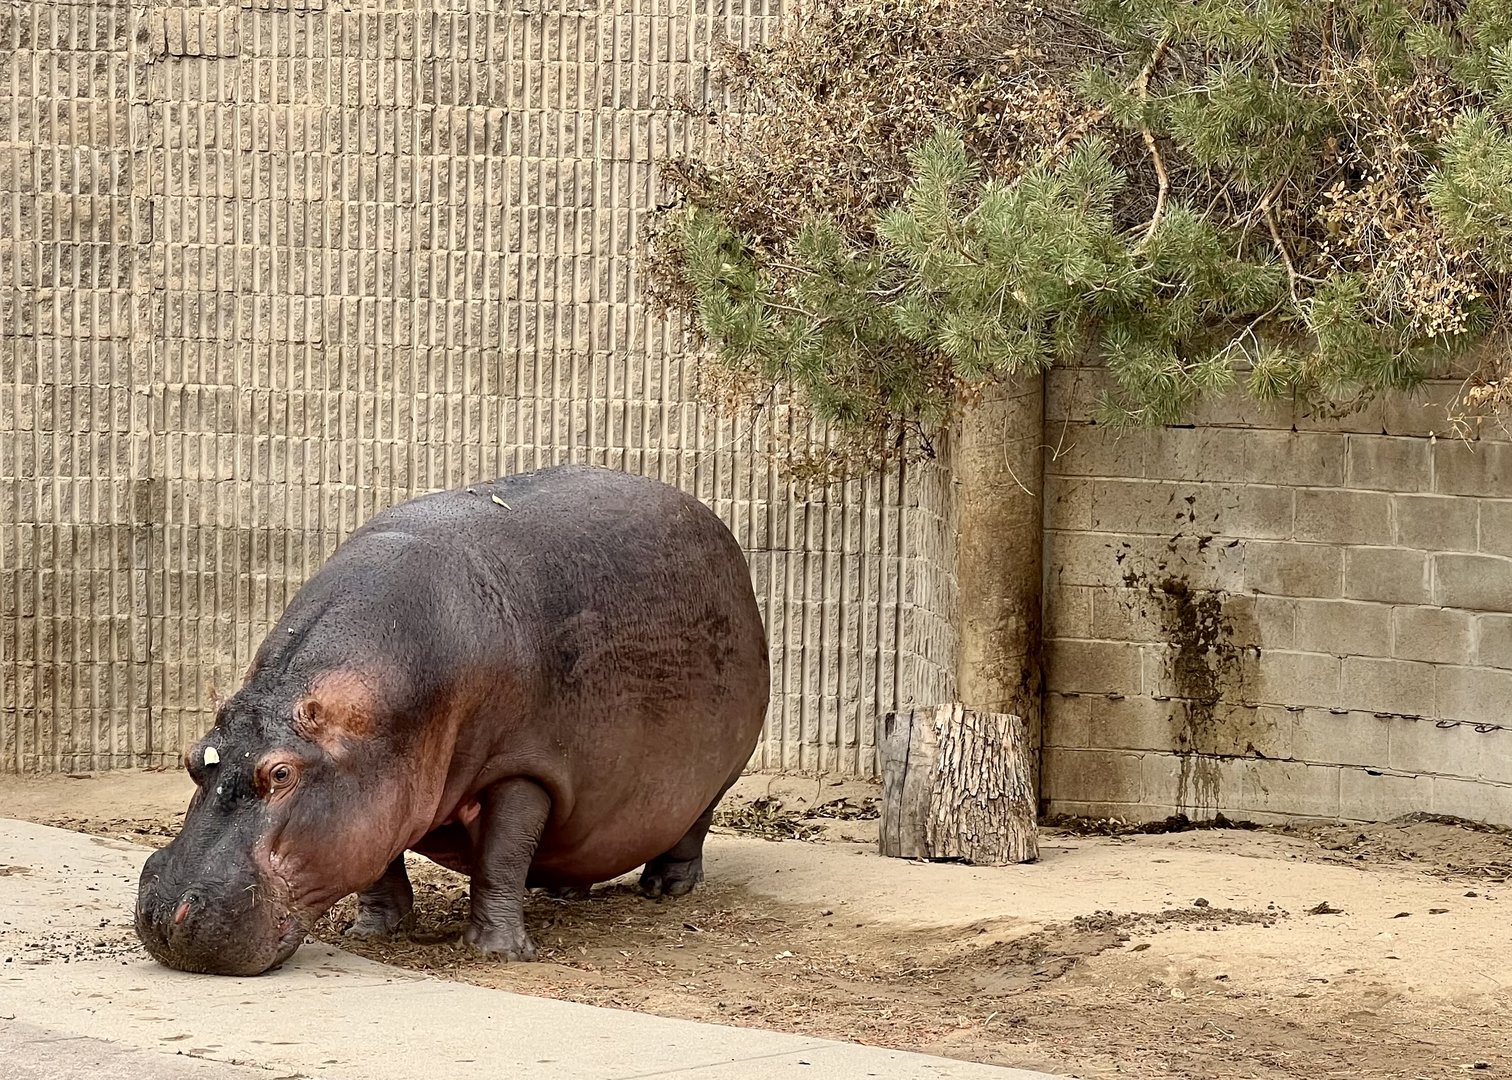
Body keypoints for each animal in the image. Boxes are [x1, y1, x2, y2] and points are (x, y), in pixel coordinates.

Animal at [134, 464, 770, 975]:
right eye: (192, 758)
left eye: (282, 774)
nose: (165, 913)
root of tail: (721, 531)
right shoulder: (382, 791)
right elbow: (379, 863)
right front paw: (374, 931)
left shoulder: (521, 769)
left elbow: (501, 858)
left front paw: (498, 952)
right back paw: (566, 892)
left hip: (719, 770)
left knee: (690, 827)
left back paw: (665, 890)